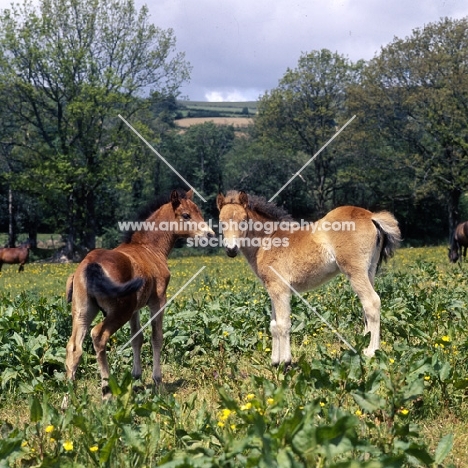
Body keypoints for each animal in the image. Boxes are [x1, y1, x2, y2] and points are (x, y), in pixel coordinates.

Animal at [62, 190, 214, 406]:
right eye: (186, 215)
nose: (210, 234)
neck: (149, 247)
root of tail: (90, 264)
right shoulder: (158, 301)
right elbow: (156, 337)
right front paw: (158, 382)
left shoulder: (135, 309)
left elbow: (137, 338)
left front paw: (136, 378)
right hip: (119, 311)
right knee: (99, 336)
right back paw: (107, 393)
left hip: (83, 311)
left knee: (74, 347)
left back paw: (67, 401)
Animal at [218, 191, 400, 366]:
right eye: (221, 222)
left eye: (243, 221)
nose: (231, 250)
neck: (268, 240)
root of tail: (371, 216)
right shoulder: (272, 290)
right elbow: (274, 325)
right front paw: (275, 361)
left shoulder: (280, 289)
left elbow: (283, 324)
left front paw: (285, 362)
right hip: (369, 271)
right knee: (366, 308)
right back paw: (363, 347)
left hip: (355, 272)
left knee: (372, 302)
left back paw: (371, 352)